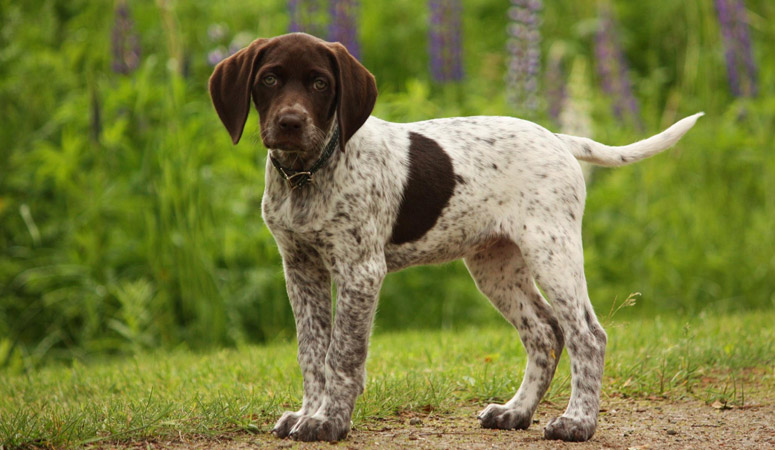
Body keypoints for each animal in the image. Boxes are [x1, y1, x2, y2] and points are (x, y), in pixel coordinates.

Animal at [209, 32, 708, 442]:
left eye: (319, 84)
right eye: (269, 79)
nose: (290, 123)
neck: (308, 173)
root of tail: (558, 138)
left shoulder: (360, 272)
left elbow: (343, 355)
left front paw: (330, 422)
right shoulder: (300, 269)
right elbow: (311, 352)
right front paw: (308, 414)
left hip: (553, 251)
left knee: (587, 335)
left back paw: (577, 423)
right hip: (496, 264)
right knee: (544, 332)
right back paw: (515, 412)